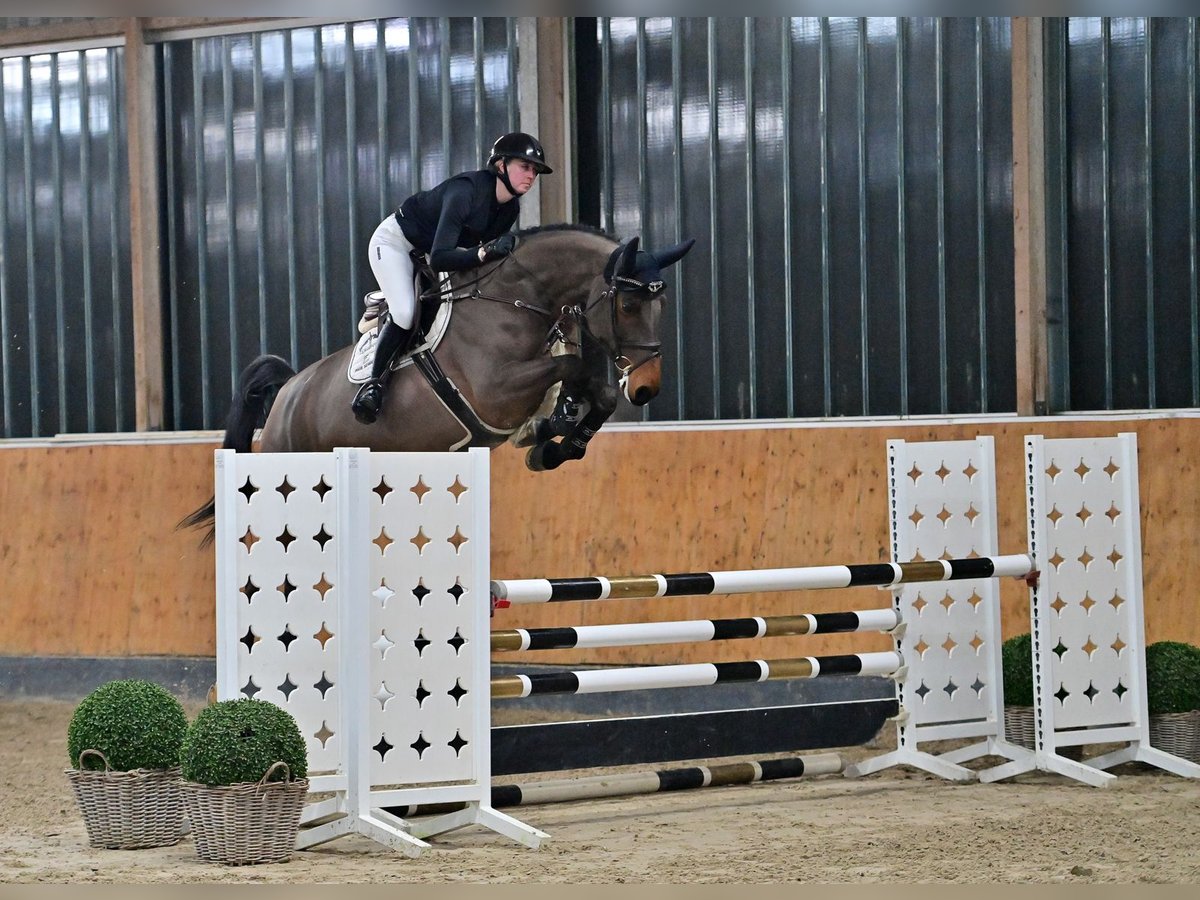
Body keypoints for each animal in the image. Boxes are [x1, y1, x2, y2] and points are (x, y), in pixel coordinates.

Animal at [182, 223, 700, 540]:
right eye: (629, 305)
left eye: (662, 304)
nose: (647, 387)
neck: (515, 299)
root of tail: (289, 392)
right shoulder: (496, 392)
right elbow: (570, 369)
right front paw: (553, 433)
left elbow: (596, 391)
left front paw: (556, 441)